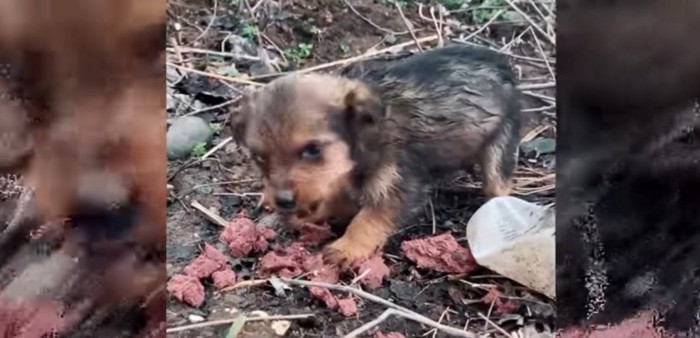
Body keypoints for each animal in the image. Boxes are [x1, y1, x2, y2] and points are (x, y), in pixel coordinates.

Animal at [231, 45, 520, 266]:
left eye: (313, 150)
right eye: (259, 158)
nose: (283, 202)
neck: (363, 135)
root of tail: (502, 62)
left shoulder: (399, 185)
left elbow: (368, 220)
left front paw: (346, 248)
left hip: (501, 142)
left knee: (498, 183)